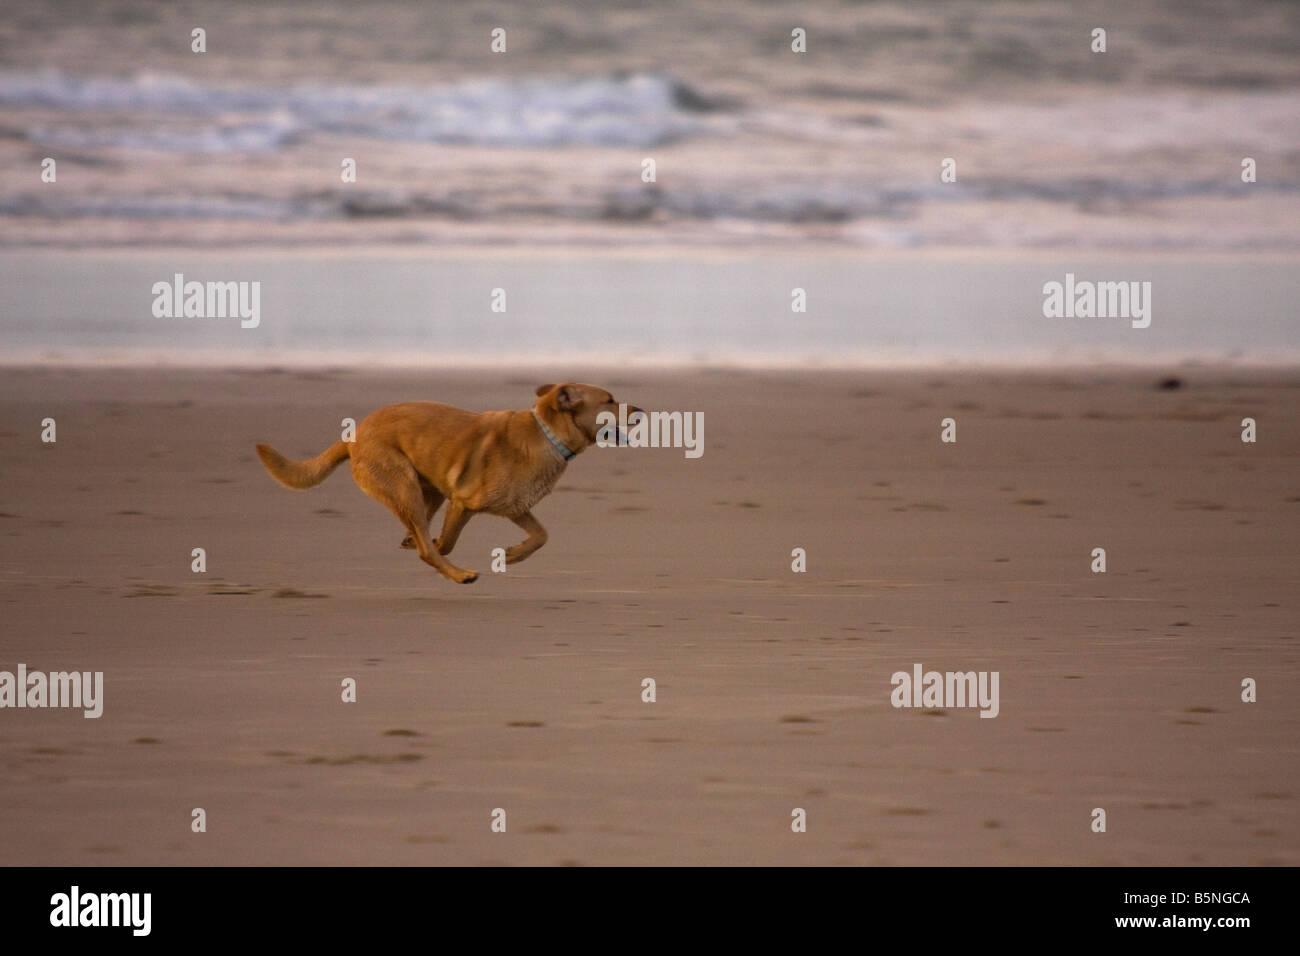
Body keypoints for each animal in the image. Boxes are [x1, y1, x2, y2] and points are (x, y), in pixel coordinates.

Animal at [254, 382, 639, 582]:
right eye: (610, 400)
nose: (641, 411)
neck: (547, 434)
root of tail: (353, 435)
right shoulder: (463, 502)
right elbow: (448, 542)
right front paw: (445, 548)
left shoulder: (516, 507)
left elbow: (542, 535)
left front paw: (513, 554)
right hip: (406, 485)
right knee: (426, 544)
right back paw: (457, 573)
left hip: (427, 489)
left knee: (418, 527)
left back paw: (416, 540)